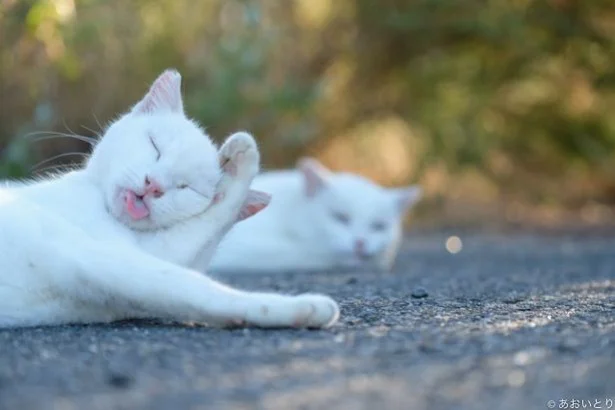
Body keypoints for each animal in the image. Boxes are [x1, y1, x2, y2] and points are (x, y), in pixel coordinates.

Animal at [0, 69, 342, 328]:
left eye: (185, 187)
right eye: (156, 146)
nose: (153, 185)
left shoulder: (129, 260)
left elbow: (194, 263)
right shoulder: (91, 255)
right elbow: (196, 285)